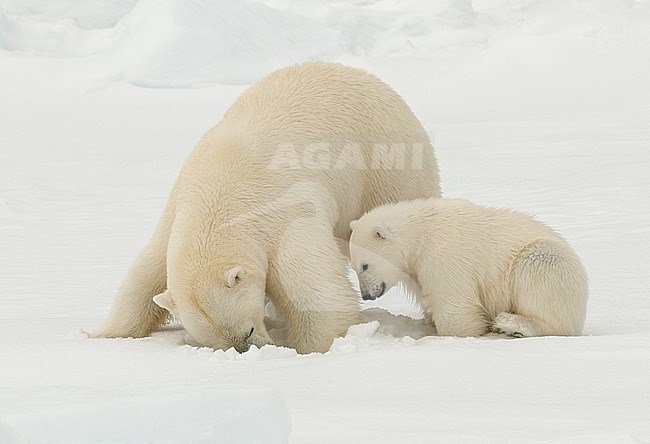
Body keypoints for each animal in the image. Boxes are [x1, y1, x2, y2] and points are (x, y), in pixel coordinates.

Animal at [95, 62, 440, 354]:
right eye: (220, 344)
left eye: (247, 330)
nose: (251, 349)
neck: (221, 194)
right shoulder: (177, 212)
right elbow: (146, 272)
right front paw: (107, 335)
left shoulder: (282, 214)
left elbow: (313, 286)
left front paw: (317, 345)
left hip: (384, 162)